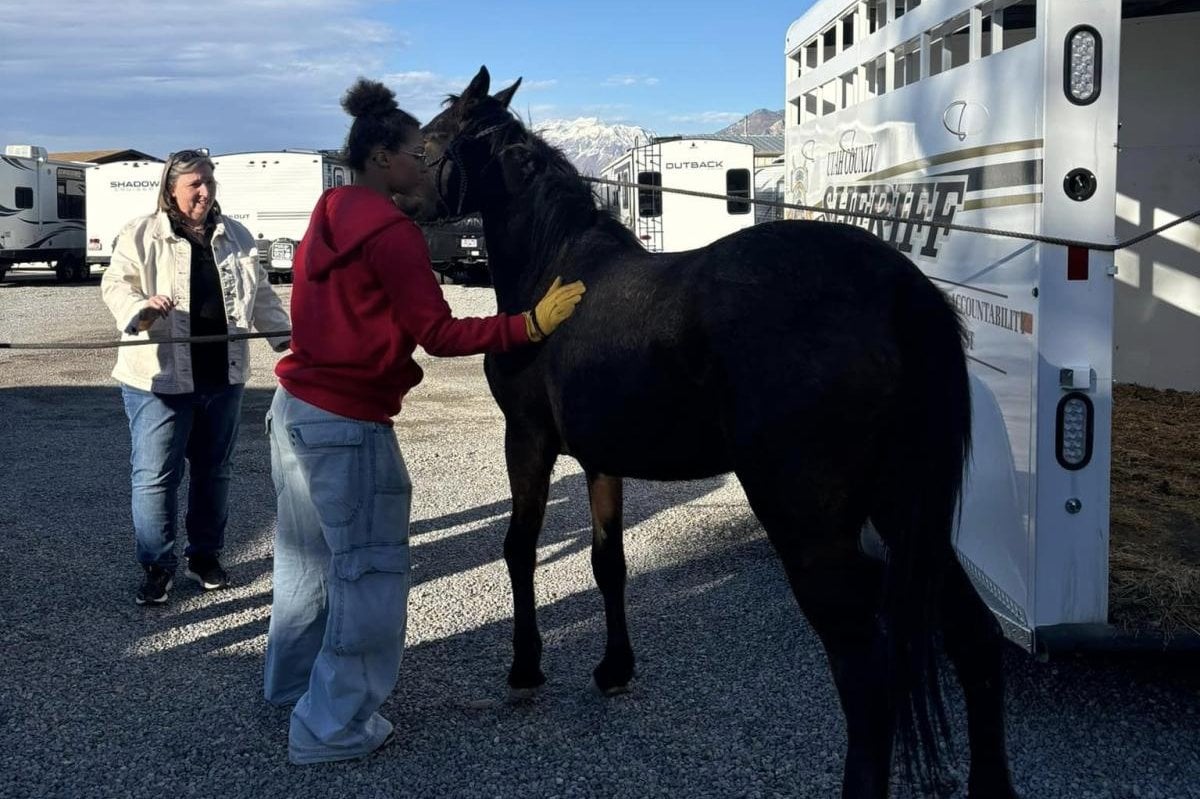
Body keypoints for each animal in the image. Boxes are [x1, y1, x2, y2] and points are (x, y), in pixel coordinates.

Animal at [398, 66, 1017, 796]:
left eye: (426, 143)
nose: (396, 204)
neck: (555, 275)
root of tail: (897, 286)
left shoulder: (527, 441)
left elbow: (518, 549)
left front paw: (525, 668)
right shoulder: (602, 457)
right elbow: (608, 561)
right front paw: (615, 668)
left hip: (814, 527)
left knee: (867, 684)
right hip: (904, 508)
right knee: (976, 641)